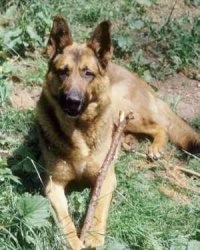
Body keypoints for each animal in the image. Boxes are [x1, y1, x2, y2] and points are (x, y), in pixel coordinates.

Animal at [37, 16, 200, 249]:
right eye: (63, 72)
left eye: (88, 73)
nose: (72, 102)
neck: (79, 132)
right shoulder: (53, 184)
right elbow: (65, 220)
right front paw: (75, 242)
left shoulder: (106, 178)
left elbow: (97, 210)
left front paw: (94, 238)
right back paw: (126, 141)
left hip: (120, 104)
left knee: (158, 126)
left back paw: (155, 147)